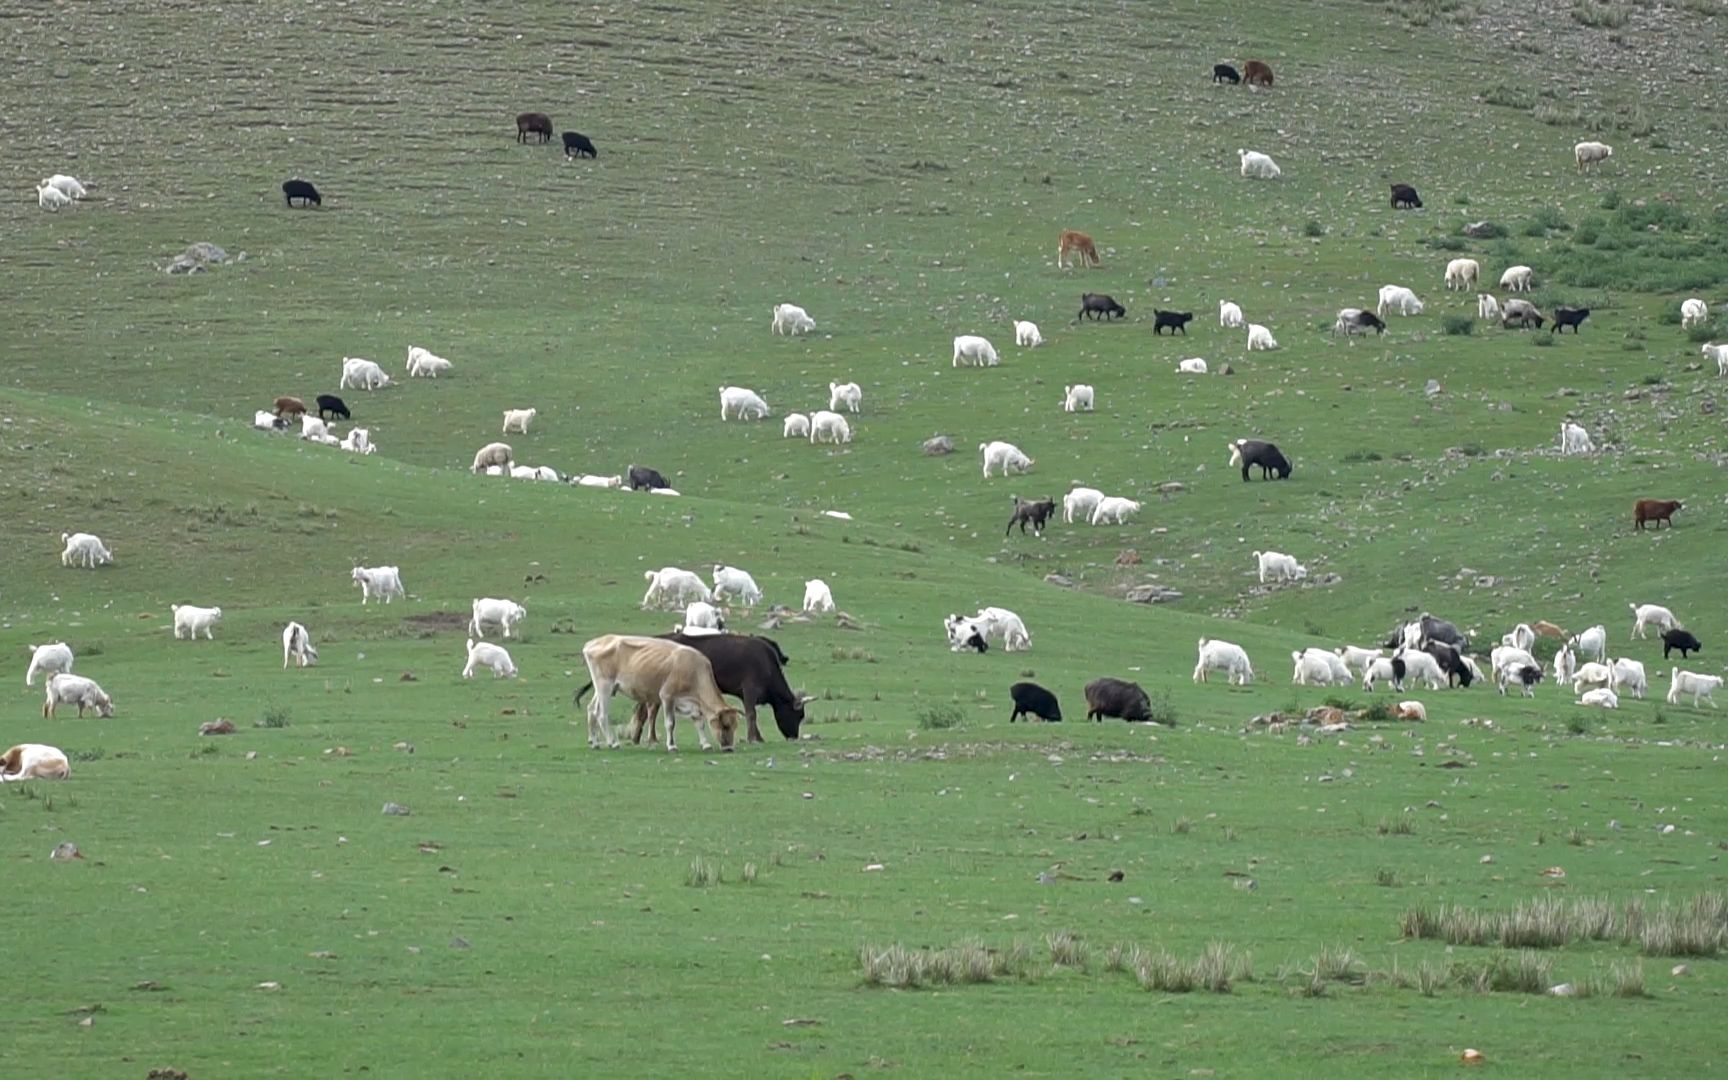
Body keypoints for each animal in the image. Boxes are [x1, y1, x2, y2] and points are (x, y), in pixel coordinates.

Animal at [660, 632, 808, 739]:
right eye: (798, 715)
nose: (794, 737)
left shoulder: (744, 695)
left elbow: (750, 713)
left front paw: (758, 737)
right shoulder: (750, 689)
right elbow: (751, 714)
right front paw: (753, 738)